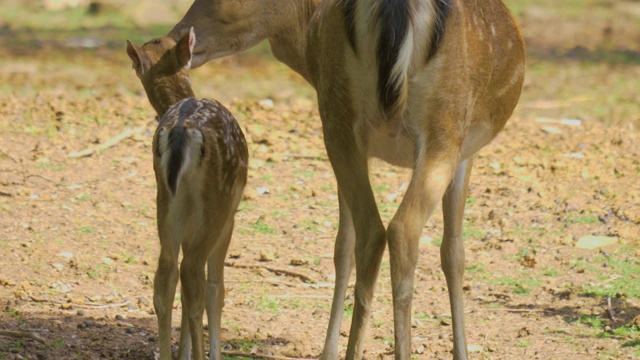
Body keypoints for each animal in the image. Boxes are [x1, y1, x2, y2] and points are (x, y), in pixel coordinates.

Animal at [125, 28, 248, 360]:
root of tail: (181, 130)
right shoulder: (230, 216)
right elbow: (216, 288)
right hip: (217, 202)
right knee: (193, 273)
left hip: (166, 202)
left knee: (166, 273)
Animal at [168, 1, 524, 358]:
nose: (176, 37)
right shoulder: (464, 150)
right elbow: (454, 252)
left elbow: (344, 244)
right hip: (443, 129)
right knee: (399, 230)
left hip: (341, 121)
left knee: (370, 232)